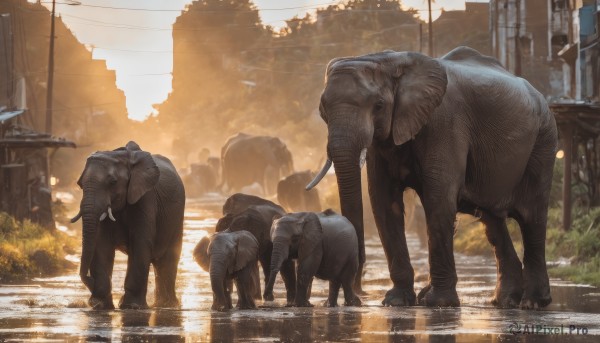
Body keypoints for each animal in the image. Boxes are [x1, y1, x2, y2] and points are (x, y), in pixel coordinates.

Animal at [70, 142, 184, 312]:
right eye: (80, 184)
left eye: (112, 182)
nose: (90, 279)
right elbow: (101, 245)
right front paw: (100, 305)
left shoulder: (145, 198)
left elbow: (140, 244)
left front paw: (131, 306)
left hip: (176, 218)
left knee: (168, 260)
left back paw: (167, 305)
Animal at [308, 46, 560, 310]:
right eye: (323, 108)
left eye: (378, 105)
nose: (358, 296)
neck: (388, 60)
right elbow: (384, 202)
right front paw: (396, 302)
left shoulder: (445, 123)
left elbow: (438, 198)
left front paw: (439, 303)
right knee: (493, 223)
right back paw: (504, 301)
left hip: (544, 140)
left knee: (531, 217)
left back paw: (533, 303)